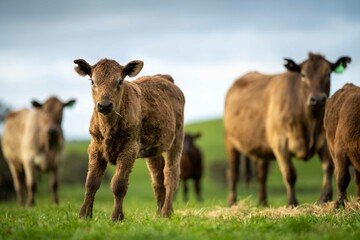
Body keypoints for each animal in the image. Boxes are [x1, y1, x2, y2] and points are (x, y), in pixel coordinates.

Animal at [74, 58, 186, 221]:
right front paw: (84, 215)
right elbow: (91, 182)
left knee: (171, 174)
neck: (108, 128)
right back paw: (158, 214)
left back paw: (166, 212)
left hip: (177, 140)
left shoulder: (129, 149)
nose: (104, 105)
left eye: (120, 81)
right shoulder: (95, 147)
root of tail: (165, 78)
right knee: (157, 178)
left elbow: (118, 184)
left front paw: (117, 217)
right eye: (92, 81)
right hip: (153, 150)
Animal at [225, 53, 352, 207]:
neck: (309, 123)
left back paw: (263, 203)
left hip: (261, 145)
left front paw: (324, 199)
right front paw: (292, 203)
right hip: (230, 141)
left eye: (328, 73)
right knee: (233, 172)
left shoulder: (325, 141)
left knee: (261, 174)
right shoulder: (280, 144)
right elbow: (290, 174)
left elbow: (328, 168)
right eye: (303, 75)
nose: (317, 100)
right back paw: (232, 202)